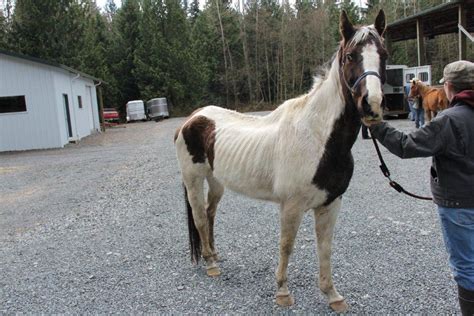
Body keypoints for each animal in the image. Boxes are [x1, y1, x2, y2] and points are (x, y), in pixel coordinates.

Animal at [175, 9, 388, 314]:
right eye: (350, 56)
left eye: (384, 54)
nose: (372, 106)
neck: (317, 137)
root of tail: (193, 118)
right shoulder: (292, 206)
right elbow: (286, 245)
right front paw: (283, 292)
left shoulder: (331, 203)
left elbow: (325, 248)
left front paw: (332, 295)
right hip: (193, 180)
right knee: (200, 218)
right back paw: (211, 264)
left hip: (217, 182)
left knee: (210, 212)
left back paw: (213, 254)